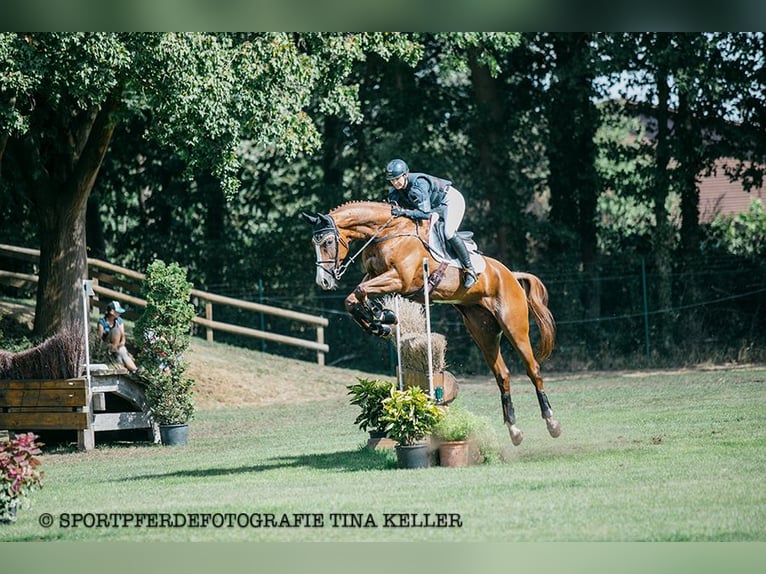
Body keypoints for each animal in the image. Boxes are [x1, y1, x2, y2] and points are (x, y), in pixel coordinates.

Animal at [304, 200, 560, 448]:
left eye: (328, 242)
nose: (323, 281)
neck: (386, 233)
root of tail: (510, 275)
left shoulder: (399, 279)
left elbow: (359, 291)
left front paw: (382, 317)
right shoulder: (375, 276)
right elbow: (352, 298)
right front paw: (380, 321)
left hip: (514, 327)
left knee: (533, 369)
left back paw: (552, 422)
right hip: (483, 332)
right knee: (502, 375)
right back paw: (514, 430)